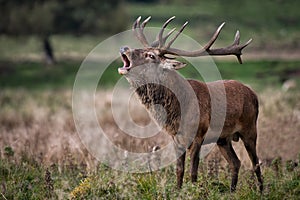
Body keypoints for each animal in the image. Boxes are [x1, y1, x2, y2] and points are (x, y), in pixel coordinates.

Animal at [117, 16, 262, 192]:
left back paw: (261, 191)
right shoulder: (176, 138)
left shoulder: (199, 134)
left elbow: (193, 171)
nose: (124, 48)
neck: (178, 112)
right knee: (236, 162)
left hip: (250, 128)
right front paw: (178, 191)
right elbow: (179, 170)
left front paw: (195, 191)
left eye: (151, 55)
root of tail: (253, 94)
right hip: (223, 138)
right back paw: (232, 192)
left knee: (256, 163)